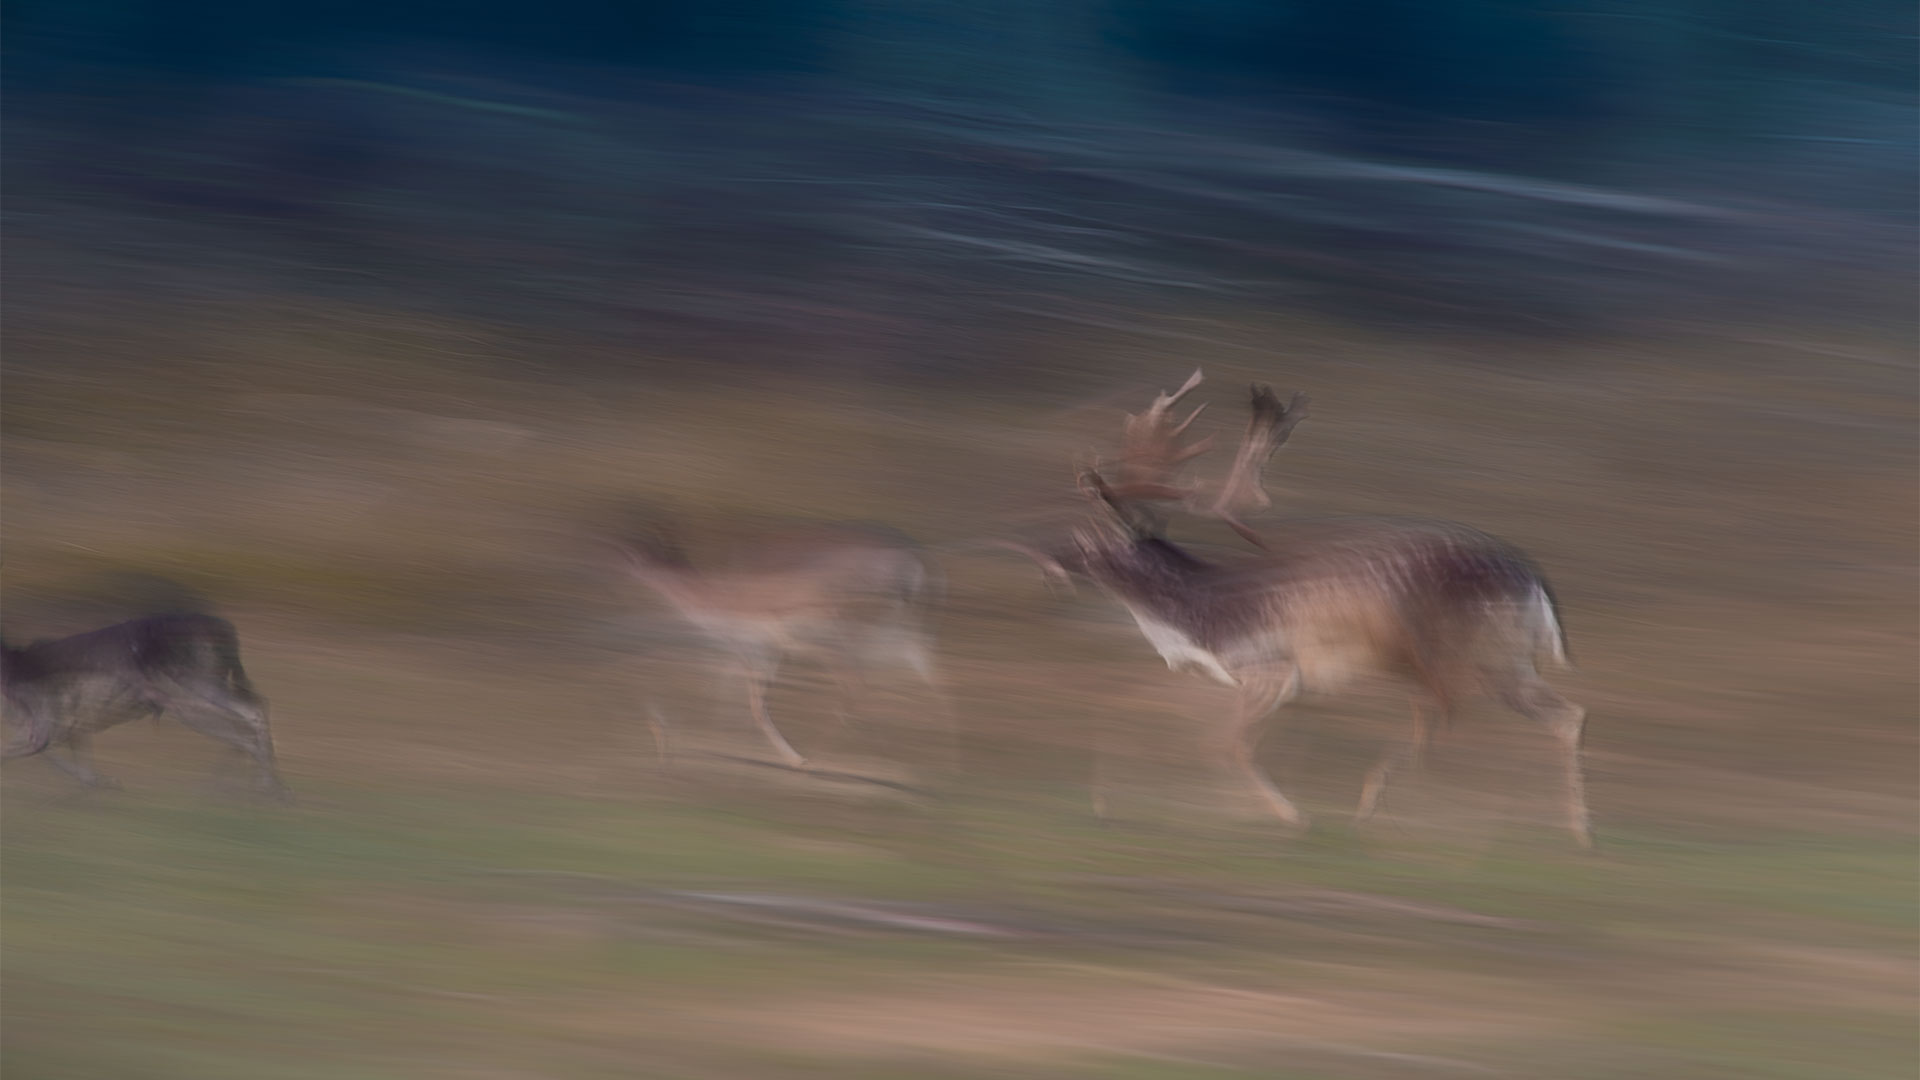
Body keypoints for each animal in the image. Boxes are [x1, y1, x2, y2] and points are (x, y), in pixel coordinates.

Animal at [1, 613, 290, 801]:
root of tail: (228, 632)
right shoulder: (65, 726)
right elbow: (71, 761)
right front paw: (106, 783)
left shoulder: (45, 720)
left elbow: (21, 752)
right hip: (190, 698)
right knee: (245, 720)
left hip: (193, 688)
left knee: (251, 712)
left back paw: (264, 787)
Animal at [613, 520, 943, 770]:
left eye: (632, 554)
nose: (615, 565)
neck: (715, 599)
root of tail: (916, 566)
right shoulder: (764, 653)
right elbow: (732, 689)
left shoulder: (756, 649)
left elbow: (751, 701)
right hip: (878, 637)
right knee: (916, 666)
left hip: (837, 645)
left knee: (858, 683)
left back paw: (815, 755)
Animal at [1014, 370, 1592, 848]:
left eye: (1087, 539)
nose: (1041, 560)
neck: (1193, 619)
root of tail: (1534, 581)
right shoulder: (1269, 686)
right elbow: (1144, 716)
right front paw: (1103, 806)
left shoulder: (1272, 668)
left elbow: (1223, 745)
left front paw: (1295, 818)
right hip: (1504, 659)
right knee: (1562, 714)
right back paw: (1576, 833)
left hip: (1459, 650)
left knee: (1451, 711)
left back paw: (1374, 811)